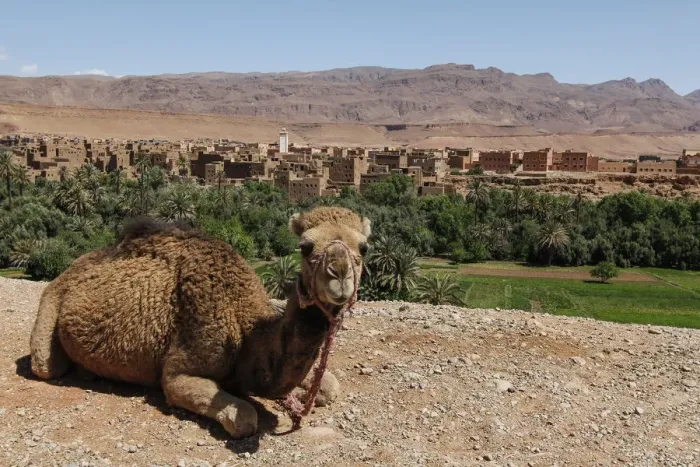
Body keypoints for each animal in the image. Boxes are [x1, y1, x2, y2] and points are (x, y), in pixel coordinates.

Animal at [29, 206, 371, 438]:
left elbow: (330, 387)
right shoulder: (179, 372)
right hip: (50, 303)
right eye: (305, 246)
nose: (339, 273)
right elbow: (244, 417)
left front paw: (300, 396)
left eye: (364, 247)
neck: (244, 329)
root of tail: (70, 269)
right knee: (45, 364)